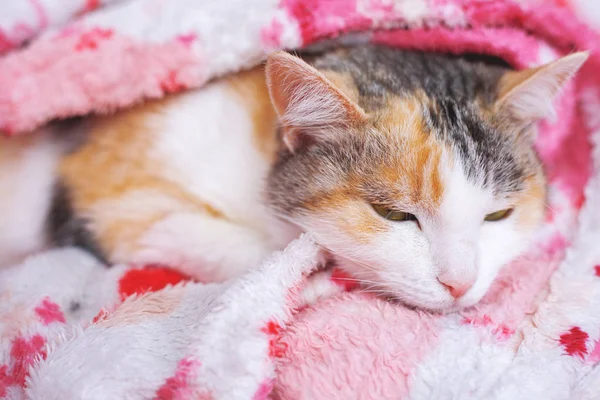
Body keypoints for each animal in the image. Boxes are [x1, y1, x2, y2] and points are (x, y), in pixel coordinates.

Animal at [0, 44, 588, 312]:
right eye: (394, 214)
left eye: (499, 214)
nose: (461, 284)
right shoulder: (102, 190)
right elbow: (228, 245)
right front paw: (320, 276)